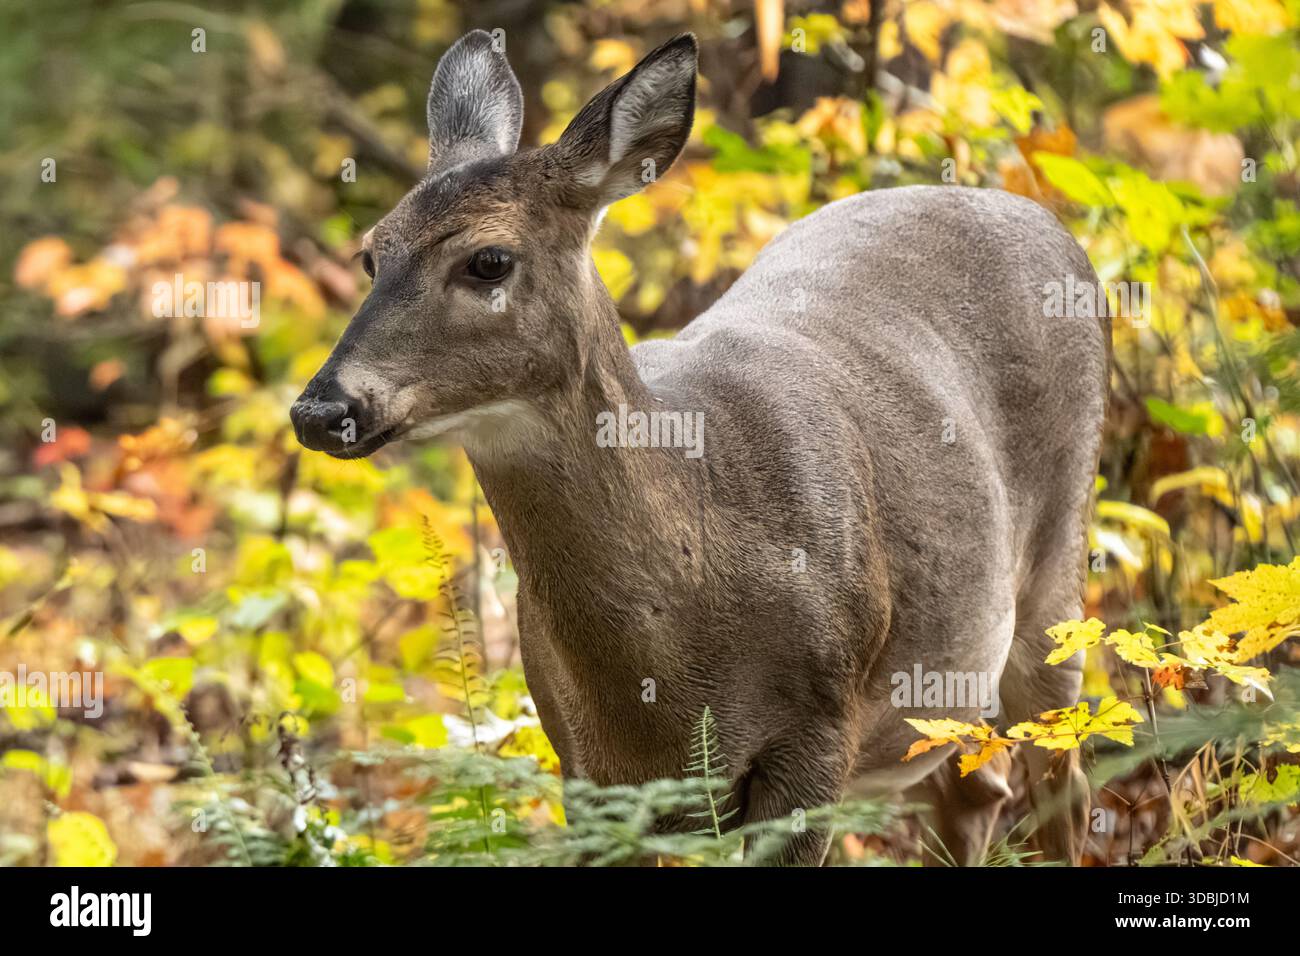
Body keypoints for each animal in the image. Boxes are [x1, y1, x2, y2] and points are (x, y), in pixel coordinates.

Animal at [291, 31, 1110, 865]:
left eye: (488, 260)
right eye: (371, 254)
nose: (322, 409)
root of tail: (1037, 215)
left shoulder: (819, 733)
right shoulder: (582, 764)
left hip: (1056, 584)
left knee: (1065, 788)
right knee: (976, 794)